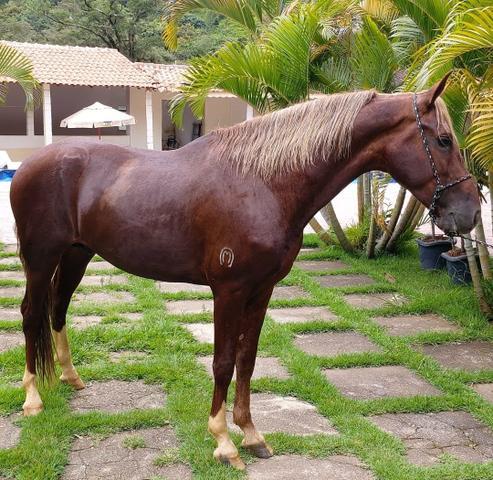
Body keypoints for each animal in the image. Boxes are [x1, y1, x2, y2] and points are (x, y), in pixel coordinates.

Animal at [10, 77, 476, 470]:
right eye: (444, 140)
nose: (469, 213)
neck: (264, 181)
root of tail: (31, 165)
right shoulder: (229, 292)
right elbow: (222, 362)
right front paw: (223, 441)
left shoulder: (262, 289)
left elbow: (247, 360)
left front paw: (251, 434)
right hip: (40, 259)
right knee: (32, 314)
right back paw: (32, 398)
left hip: (77, 255)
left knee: (58, 310)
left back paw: (71, 378)